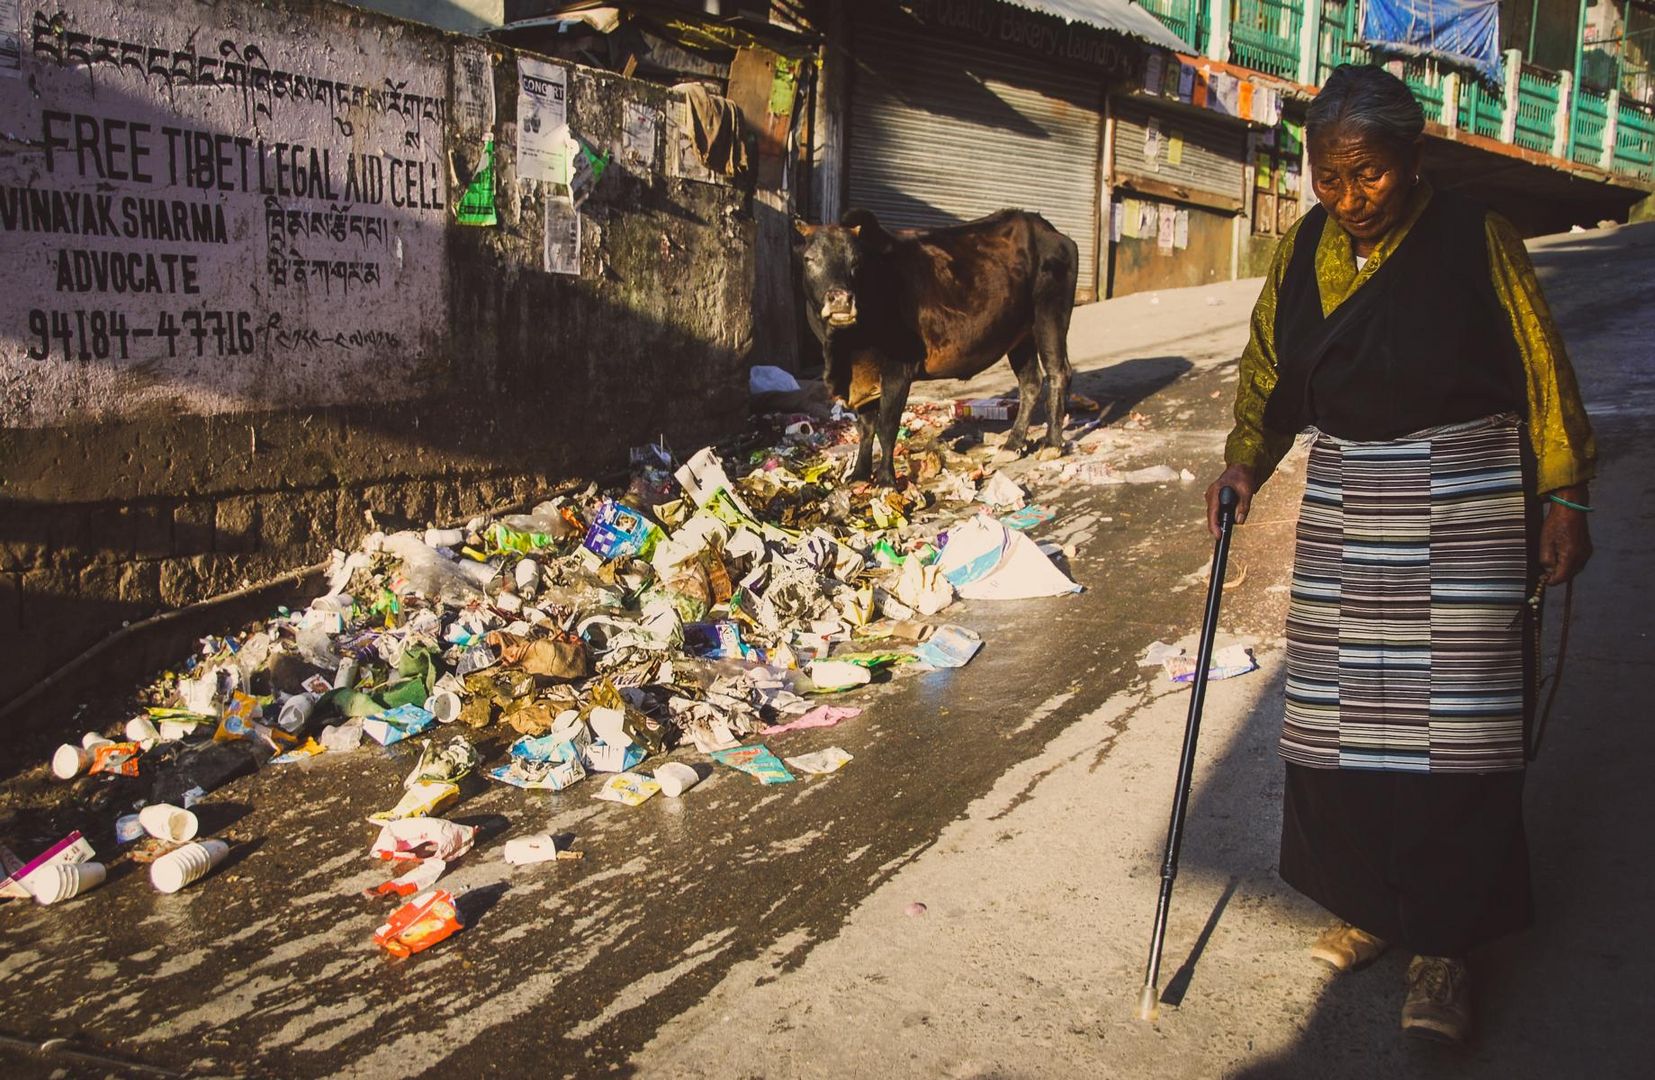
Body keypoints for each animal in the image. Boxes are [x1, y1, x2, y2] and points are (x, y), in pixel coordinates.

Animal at [794, 207, 1079, 482]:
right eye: (809, 260)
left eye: (856, 261)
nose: (841, 300)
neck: (847, 346)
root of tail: (1052, 232)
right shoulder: (861, 380)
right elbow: (866, 428)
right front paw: (859, 474)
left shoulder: (899, 369)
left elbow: (886, 427)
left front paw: (886, 479)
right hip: (1021, 336)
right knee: (1030, 384)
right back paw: (1012, 444)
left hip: (1050, 316)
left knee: (1058, 373)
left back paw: (1052, 443)